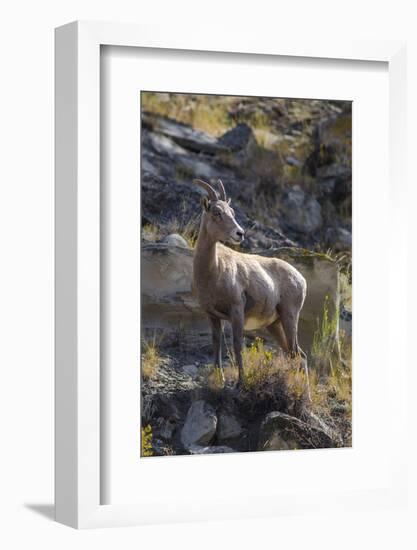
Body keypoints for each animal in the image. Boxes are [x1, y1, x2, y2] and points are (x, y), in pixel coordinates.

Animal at [192, 179, 308, 394]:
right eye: (217, 212)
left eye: (232, 212)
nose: (240, 233)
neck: (213, 271)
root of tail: (301, 280)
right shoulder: (212, 315)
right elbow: (216, 344)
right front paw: (219, 380)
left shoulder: (236, 310)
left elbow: (238, 345)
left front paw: (240, 383)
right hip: (274, 325)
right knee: (296, 355)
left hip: (289, 317)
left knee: (297, 355)